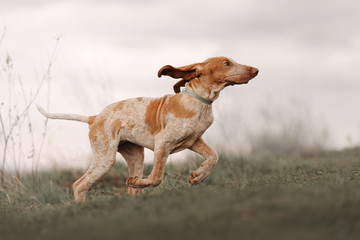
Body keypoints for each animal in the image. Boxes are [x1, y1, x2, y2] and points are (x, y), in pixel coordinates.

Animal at [37, 57, 258, 202]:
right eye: (226, 63)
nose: (256, 70)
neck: (200, 101)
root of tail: (94, 117)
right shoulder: (163, 144)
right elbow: (156, 178)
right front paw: (138, 182)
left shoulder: (194, 141)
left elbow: (214, 156)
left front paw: (199, 175)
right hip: (105, 157)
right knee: (80, 184)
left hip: (135, 156)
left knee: (130, 191)